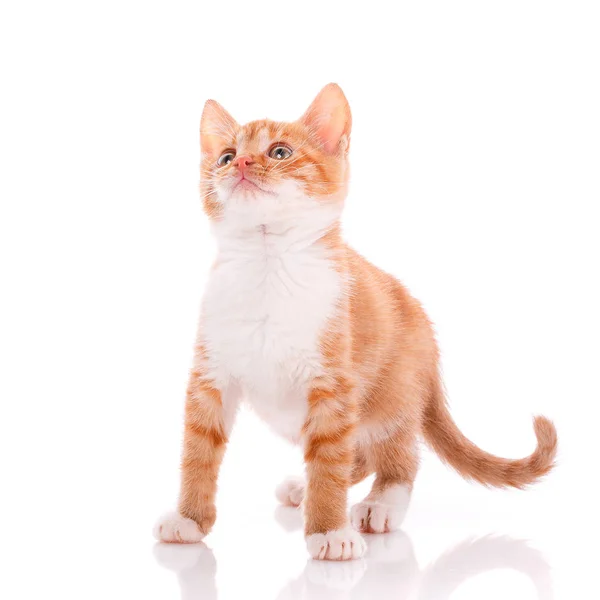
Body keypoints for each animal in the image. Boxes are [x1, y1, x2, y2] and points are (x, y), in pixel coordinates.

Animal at [155, 84, 556, 564]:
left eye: (279, 151)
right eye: (226, 156)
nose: (244, 164)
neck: (267, 265)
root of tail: (428, 334)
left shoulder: (334, 382)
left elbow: (330, 458)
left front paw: (329, 531)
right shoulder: (210, 375)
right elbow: (198, 450)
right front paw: (190, 519)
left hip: (392, 394)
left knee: (395, 454)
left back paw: (380, 504)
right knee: (356, 452)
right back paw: (305, 488)